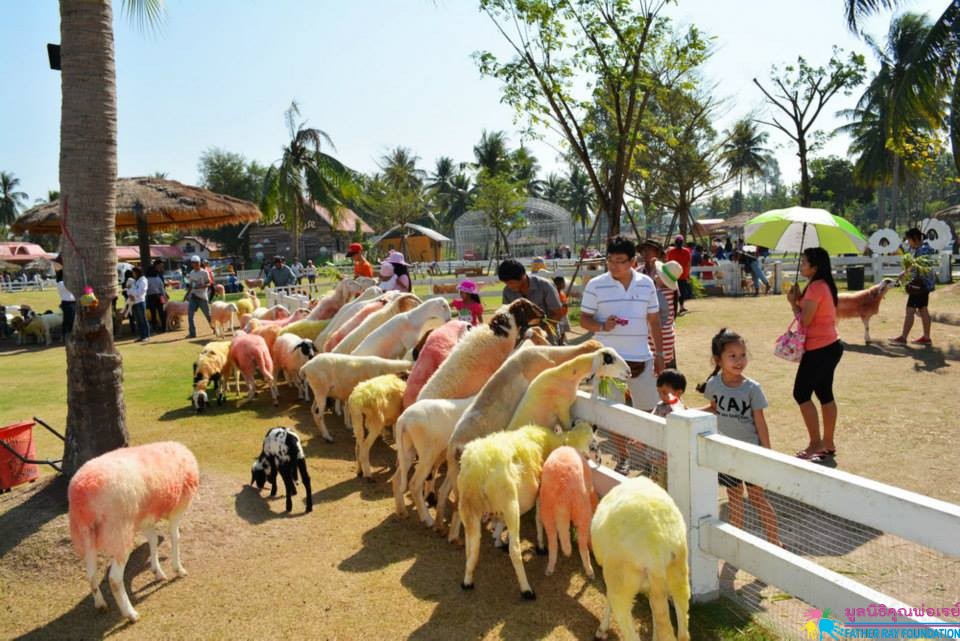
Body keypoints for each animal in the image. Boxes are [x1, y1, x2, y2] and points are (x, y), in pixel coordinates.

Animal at [68, 441, 199, 622]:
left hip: (85, 535)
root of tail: (82, 493)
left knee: (91, 574)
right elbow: (175, 537)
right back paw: (130, 613)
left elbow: (152, 540)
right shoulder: (178, 508)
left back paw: (100, 604)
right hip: (118, 532)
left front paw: (157, 571)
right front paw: (178, 569)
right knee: (114, 579)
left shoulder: (145, 518)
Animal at [392, 395, 475, 526]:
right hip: (427, 455)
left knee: (396, 479)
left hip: (408, 450)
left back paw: (402, 512)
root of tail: (403, 420)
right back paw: (427, 519)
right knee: (414, 485)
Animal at [538, 445, 598, 578]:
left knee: (553, 544)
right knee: (583, 546)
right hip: (582, 509)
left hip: (547, 512)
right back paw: (590, 571)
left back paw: (550, 568)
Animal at [591, 476, 690, 641]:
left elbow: (608, 598)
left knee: (629, 630)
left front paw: (602, 629)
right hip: (678, 572)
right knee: (682, 631)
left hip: (621, 582)